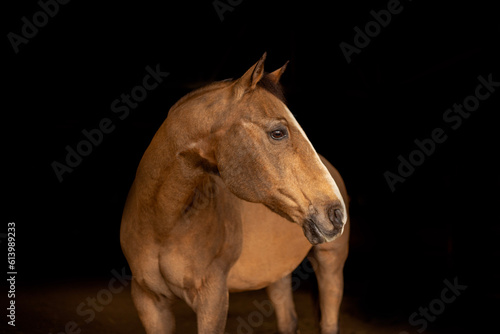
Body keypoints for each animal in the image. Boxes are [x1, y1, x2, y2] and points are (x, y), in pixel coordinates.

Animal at [119, 53, 350, 332]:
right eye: (278, 132)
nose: (336, 213)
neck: (162, 225)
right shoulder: (149, 301)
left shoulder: (212, 299)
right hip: (276, 272)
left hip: (330, 263)